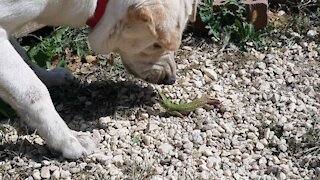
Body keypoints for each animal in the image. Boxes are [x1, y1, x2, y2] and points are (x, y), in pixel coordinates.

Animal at [0, 0, 198, 158]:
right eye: (156, 44)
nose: (170, 79)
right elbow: (33, 91)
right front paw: (68, 140)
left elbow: (24, 56)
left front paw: (49, 76)